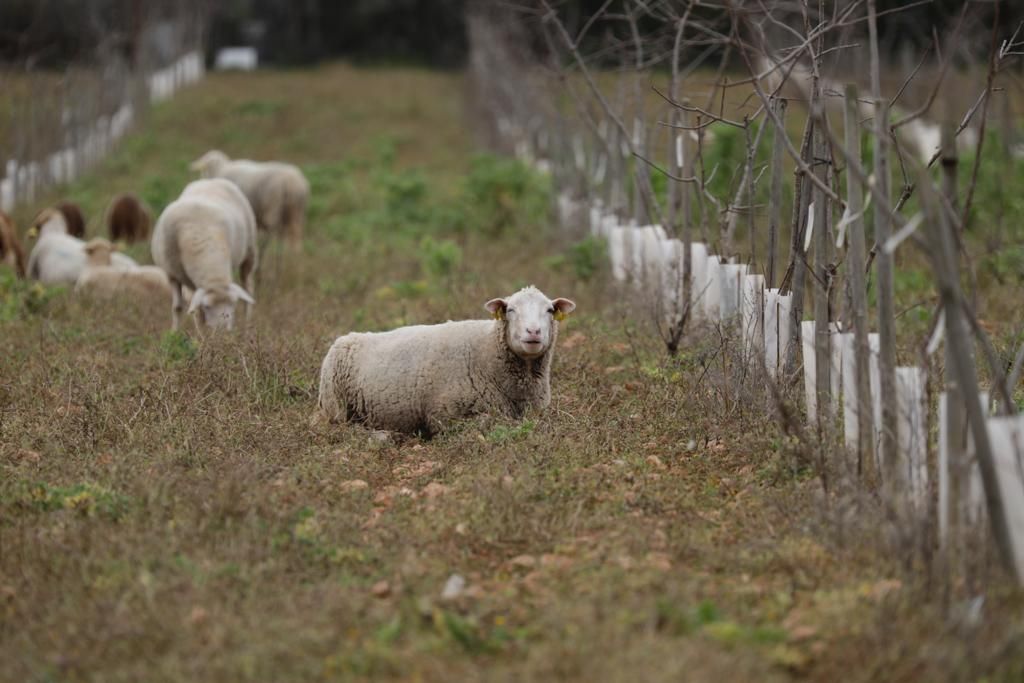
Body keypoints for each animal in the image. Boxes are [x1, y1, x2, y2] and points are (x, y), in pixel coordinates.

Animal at [149, 179, 258, 331]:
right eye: (207, 306)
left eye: (233, 303)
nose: (222, 331)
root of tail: (209, 180)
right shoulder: (172, 275)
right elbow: (179, 308)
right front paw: (177, 332)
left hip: (250, 251)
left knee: (248, 286)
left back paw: (247, 325)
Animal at [317, 286, 577, 436]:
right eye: (511, 309)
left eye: (550, 310)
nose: (533, 332)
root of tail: (344, 339)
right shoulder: (443, 416)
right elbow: (488, 423)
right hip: (334, 408)